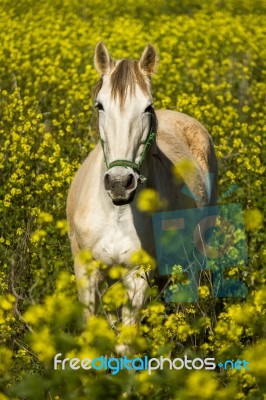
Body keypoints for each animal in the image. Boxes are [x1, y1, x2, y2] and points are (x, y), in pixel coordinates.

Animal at [66, 43, 216, 324]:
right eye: (100, 105)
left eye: (147, 107)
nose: (119, 183)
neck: (116, 212)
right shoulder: (86, 272)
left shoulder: (138, 275)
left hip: (195, 252)